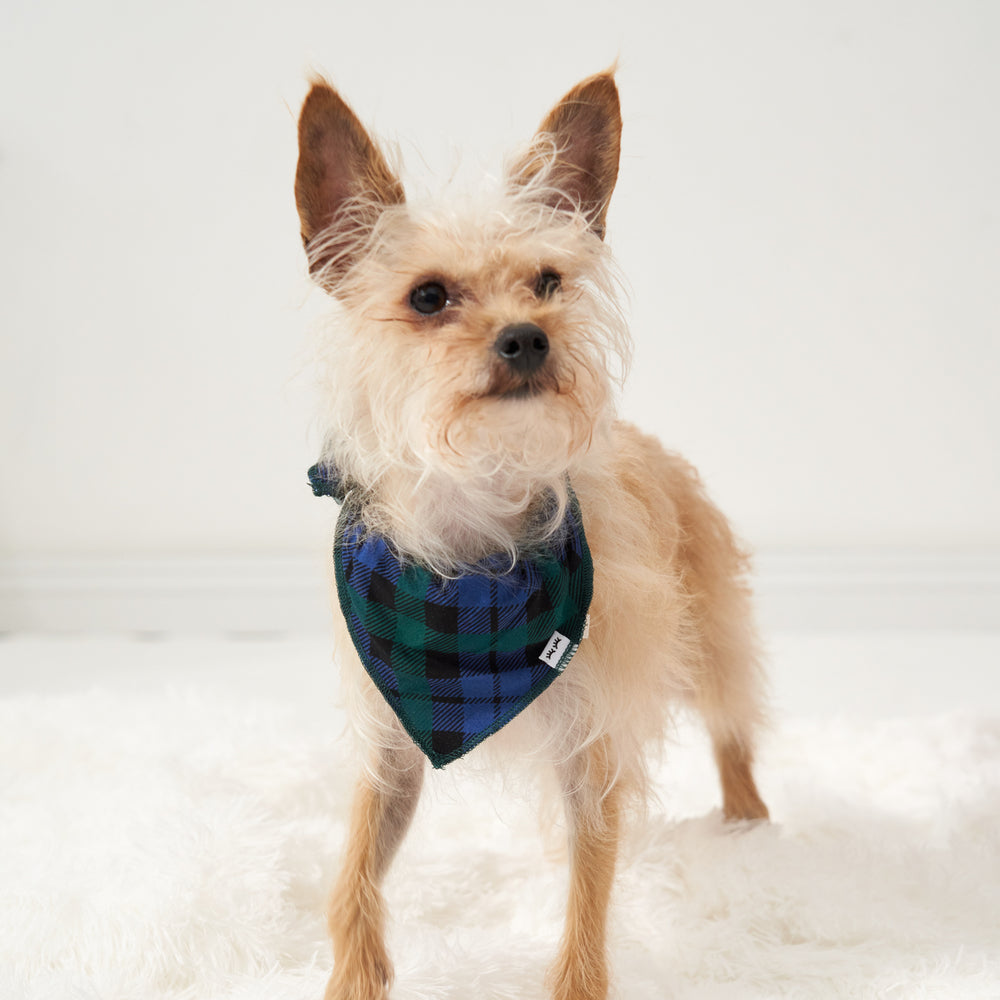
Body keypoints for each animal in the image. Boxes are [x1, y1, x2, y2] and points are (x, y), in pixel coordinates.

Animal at [292, 70, 768, 1000]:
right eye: (428, 297)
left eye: (547, 282)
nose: (529, 336)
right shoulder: (394, 741)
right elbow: (353, 872)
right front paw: (355, 976)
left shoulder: (592, 744)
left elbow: (589, 890)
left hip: (707, 631)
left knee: (731, 720)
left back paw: (747, 822)